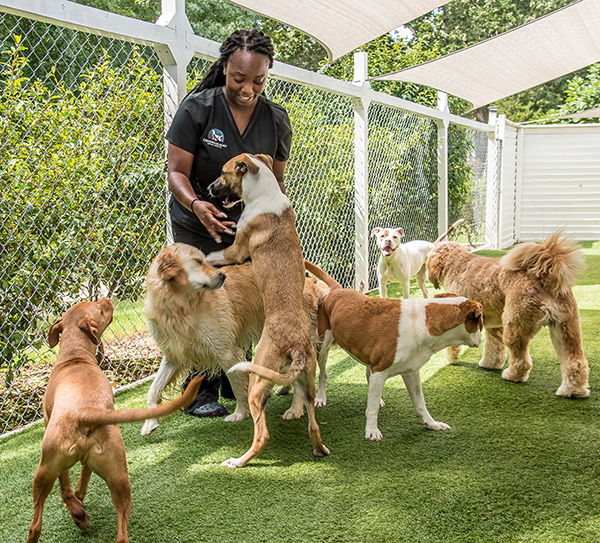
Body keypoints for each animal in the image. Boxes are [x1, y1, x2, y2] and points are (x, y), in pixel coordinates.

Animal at [27, 300, 204, 543]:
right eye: (99, 307)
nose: (108, 300)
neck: (74, 356)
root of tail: (85, 411)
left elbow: (70, 486)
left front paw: (77, 508)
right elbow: (78, 481)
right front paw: (79, 506)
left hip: (45, 472)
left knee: (36, 524)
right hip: (116, 478)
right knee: (120, 533)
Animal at [205, 152, 328, 468]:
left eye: (222, 172)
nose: (208, 189)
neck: (264, 193)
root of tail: (296, 345)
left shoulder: (236, 250)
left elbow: (214, 254)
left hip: (258, 380)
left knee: (262, 433)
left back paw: (238, 461)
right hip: (307, 383)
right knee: (313, 424)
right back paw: (320, 449)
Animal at [304, 262, 482, 444]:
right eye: (480, 322)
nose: (481, 339)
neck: (425, 323)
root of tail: (338, 289)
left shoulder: (411, 372)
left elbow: (420, 403)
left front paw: (432, 424)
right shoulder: (380, 371)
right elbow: (372, 409)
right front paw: (371, 431)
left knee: (368, 374)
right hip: (323, 344)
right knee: (323, 373)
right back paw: (321, 398)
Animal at [426, 232, 592, 398]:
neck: (457, 264)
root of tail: (544, 276)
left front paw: (452, 357)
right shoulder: (494, 325)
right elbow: (494, 348)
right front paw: (490, 364)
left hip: (515, 327)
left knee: (522, 361)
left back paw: (513, 376)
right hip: (566, 330)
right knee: (576, 363)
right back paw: (572, 390)